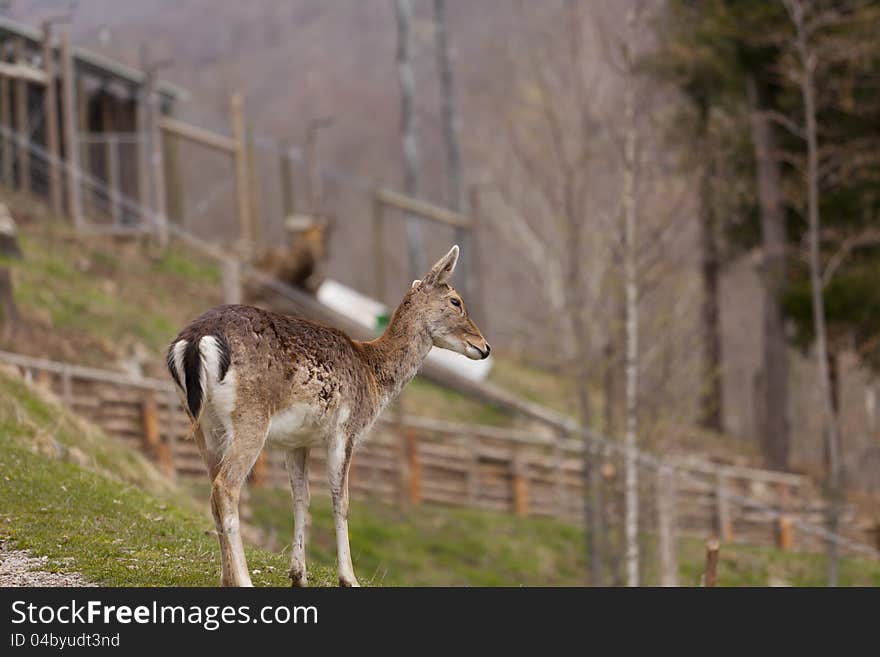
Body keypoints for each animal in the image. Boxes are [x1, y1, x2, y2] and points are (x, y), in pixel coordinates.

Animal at [167, 245, 488, 584]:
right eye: (456, 301)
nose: (484, 346)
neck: (373, 377)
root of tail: (194, 340)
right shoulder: (346, 430)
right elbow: (341, 499)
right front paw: (349, 578)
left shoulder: (297, 441)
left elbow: (301, 496)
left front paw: (298, 575)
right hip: (250, 418)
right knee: (226, 487)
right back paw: (243, 579)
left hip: (203, 425)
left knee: (213, 492)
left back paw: (227, 578)